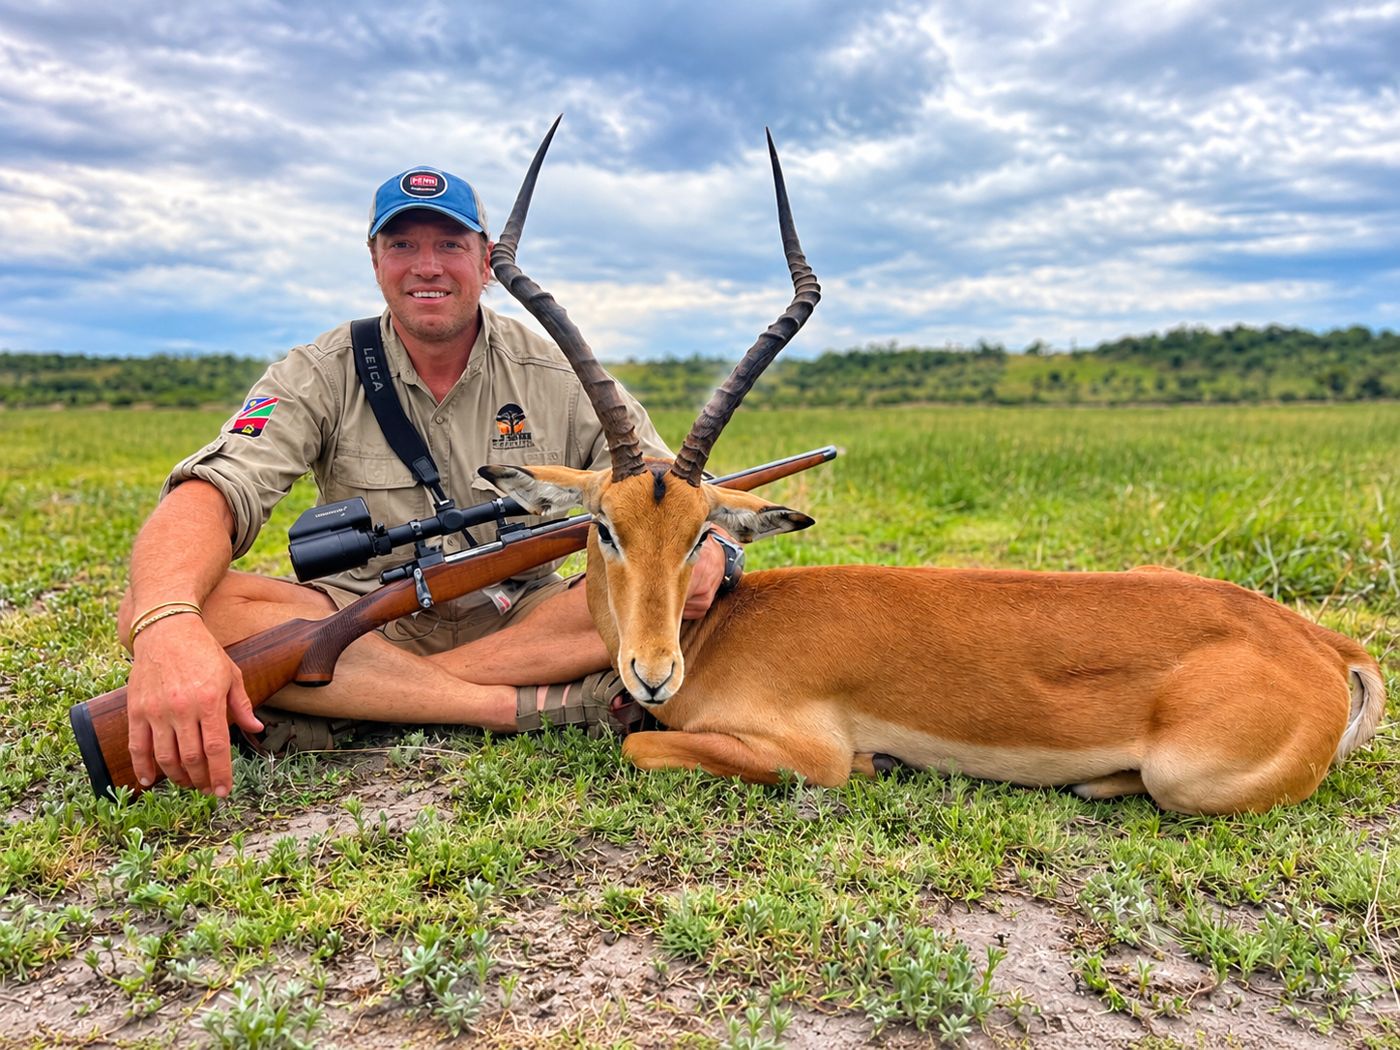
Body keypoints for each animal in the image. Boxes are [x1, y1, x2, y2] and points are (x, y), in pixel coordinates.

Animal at [482, 119, 1386, 814]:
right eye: (606, 526)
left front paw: (878, 762)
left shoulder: (803, 752)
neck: (719, 634)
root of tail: (1323, 643)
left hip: (1186, 779)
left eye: (701, 534)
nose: (652, 673)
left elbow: (646, 749)